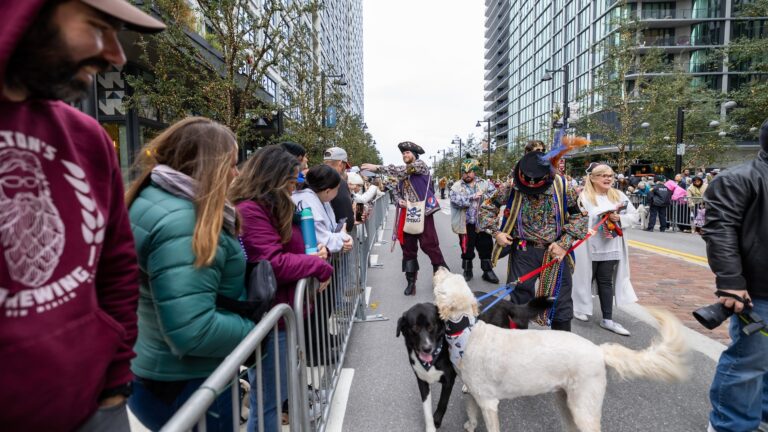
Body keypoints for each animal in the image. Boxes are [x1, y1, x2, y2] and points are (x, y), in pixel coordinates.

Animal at [396, 296, 552, 430]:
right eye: (414, 328)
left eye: (431, 326)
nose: (427, 348)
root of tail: (503, 301)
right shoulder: (422, 380)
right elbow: (426, 410)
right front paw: (430, 427)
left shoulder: (448, 380)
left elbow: (442, 403)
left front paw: (437, 421)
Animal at [432, 268, 688, 430]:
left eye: (445, 282)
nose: (440, 266)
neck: (467, 333)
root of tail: (598, 350)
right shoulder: (476, 396)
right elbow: (471, 415)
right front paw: (470, 425)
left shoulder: (488, 403)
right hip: (567, 403)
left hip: (583, 407)